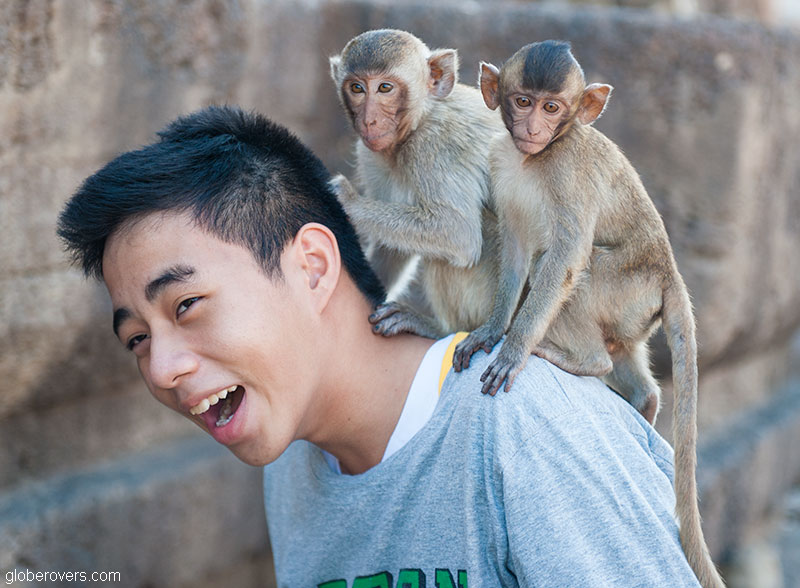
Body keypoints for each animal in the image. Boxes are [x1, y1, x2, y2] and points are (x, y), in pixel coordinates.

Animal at [328, 29, 504, 338]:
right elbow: (392, 245)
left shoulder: (436, 144)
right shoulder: (371, 154)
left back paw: (440, 330)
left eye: (385, 88)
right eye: (357, 88)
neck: (421, 117)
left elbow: (457, 232)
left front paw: (345, 201)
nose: (369, 120)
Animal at [451, 40, 724, 588]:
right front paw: (491, 330)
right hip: (634, 312)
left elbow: (565, 256)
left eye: (552, 107)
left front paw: (512, 349)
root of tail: (669, 274)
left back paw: (579, 360)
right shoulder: (501, 162)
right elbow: (515, 250)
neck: (536, 158)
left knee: (575, 273)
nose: (533, 127)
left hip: (626, 285)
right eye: (522, 101)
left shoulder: (568, 170)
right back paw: (641, 399)